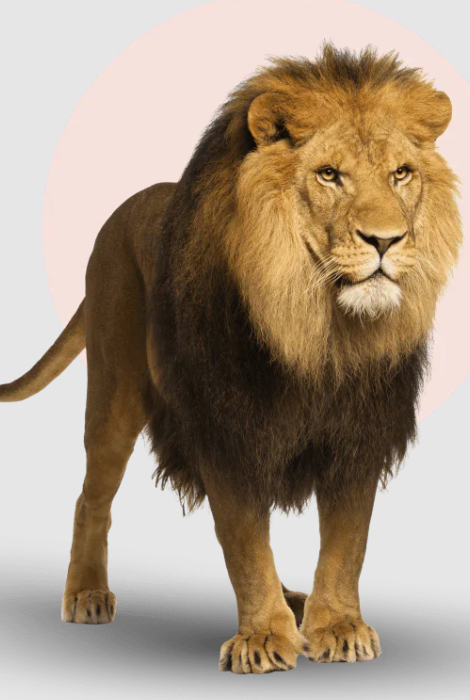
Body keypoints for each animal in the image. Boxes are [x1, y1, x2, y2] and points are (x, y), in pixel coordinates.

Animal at [0, 44, 462, 674]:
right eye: (329, 174)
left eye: (401, 173)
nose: (386, 241)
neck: (319, 331)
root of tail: (123, 209)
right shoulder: (227, 426)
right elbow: (244, 541)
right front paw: (264, 637)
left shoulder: (357, 432)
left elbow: (347, 541)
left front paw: (337, 626)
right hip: (115, 390)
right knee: (90, 495)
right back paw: (88, 593)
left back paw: (297, 601)